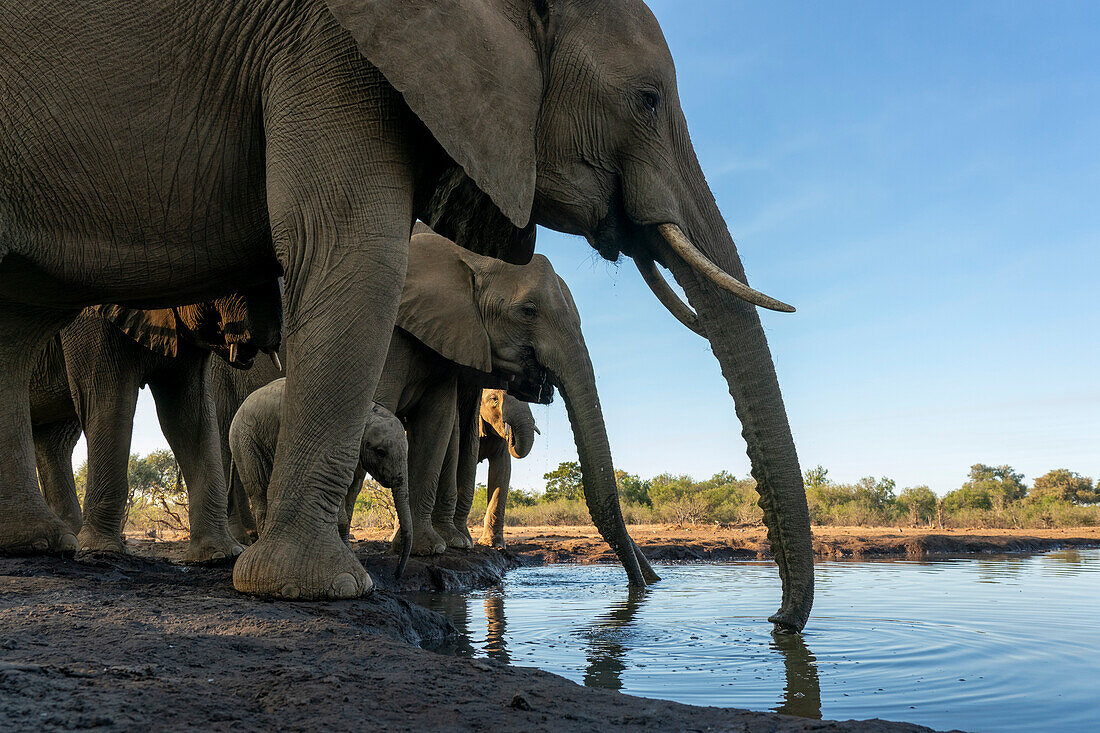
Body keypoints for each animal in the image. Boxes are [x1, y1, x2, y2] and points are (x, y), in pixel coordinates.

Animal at [27, 290, 283, 559]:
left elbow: (188, 413)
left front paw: (220, 555)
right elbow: (108, 398)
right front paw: (103, 551)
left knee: (54, 440)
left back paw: (68, 541)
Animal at [228, 376, 413, 576]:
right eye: (381, 452)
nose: (397, 574)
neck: (369, 411)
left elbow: (352, 491)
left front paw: (349, 553)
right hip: (247, 442)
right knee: (260, 490)